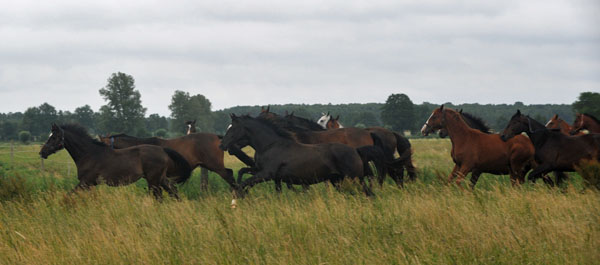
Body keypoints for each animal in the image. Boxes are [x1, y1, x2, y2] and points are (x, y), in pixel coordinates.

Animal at [39, 122, 192, 199]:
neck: (89, 154)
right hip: (161, 178)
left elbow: (69, 195)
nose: (42, 152)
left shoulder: (85, 182)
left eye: (54, 137)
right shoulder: (90, 184)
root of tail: (162, 150)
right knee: (173, 192)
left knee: (159, 197)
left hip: (153, 180)